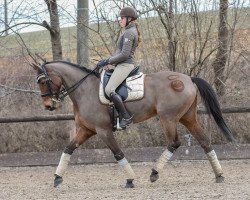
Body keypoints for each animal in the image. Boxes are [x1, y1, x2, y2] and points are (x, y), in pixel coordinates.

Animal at [33, 60, 234, 188]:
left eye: (43, 81)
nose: (48, 105)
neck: (84, 90)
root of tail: (188, 79)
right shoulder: (86, 130)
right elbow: (68, 149)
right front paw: (57, 178)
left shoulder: (103, 130)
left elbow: (118, 153)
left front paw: (130, 180)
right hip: (188, 117)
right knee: (204, 141)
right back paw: (219, 175)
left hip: (168, 118)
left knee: (174, 142)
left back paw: (154, 173)